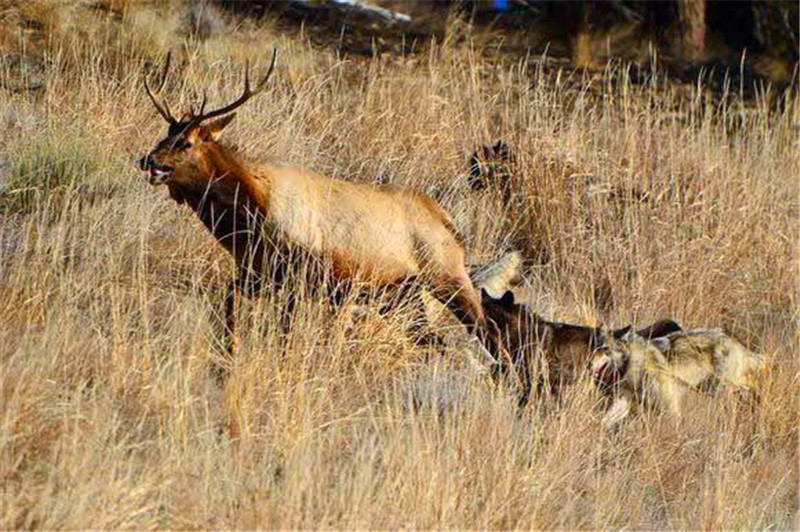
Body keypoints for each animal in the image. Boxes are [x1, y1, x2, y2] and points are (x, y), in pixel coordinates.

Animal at [138, 51, 488, 374]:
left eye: (186, 143)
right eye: (165, 134)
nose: (147, 160)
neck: (249, 219)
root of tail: (449, 223)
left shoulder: (301, 272)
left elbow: (285, 332)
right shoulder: (257, 272)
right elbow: (228, 299)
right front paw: (228, 352)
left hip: (447, 274)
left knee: (487, 332)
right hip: (400, 293)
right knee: (438, 341)